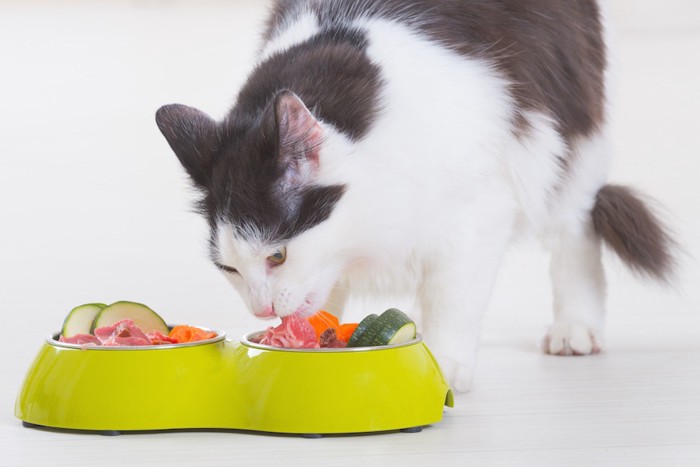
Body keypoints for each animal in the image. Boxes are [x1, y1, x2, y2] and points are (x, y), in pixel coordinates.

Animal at [156, 0, 676, 394]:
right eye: (229, 269)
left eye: (277, 256)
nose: (261, 310)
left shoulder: (477, 215)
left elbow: (452, 297)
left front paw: (443, 365)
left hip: (574, 134)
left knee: (576, 229)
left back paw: (575, 329)